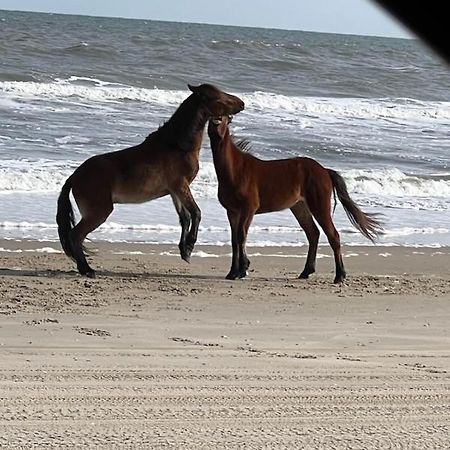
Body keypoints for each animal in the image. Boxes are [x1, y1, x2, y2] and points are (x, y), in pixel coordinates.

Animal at [58, 82, 246, 276]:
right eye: (218, 98)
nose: (242, 103)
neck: (177, 146)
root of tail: (74, 176)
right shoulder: (181, 186)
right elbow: (196, 213)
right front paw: (190, 246)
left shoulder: (174, 191)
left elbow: (185, 218)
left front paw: (184, 251)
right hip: (98, 212)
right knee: (76, 236)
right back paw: (87, 269)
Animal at [207, 116, 384, 284]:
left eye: (226, 117)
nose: (217, 122)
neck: (236, 170)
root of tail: (324, 171)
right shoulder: (232, 212)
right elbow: (234, 240)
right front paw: (232, 273)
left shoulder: (248, 210)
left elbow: (241, 236)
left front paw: (243, 270)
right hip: (300, 207)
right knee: (313, 233)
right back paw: (306, 272)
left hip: (319, 206)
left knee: (333, 236)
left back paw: (339, 276)